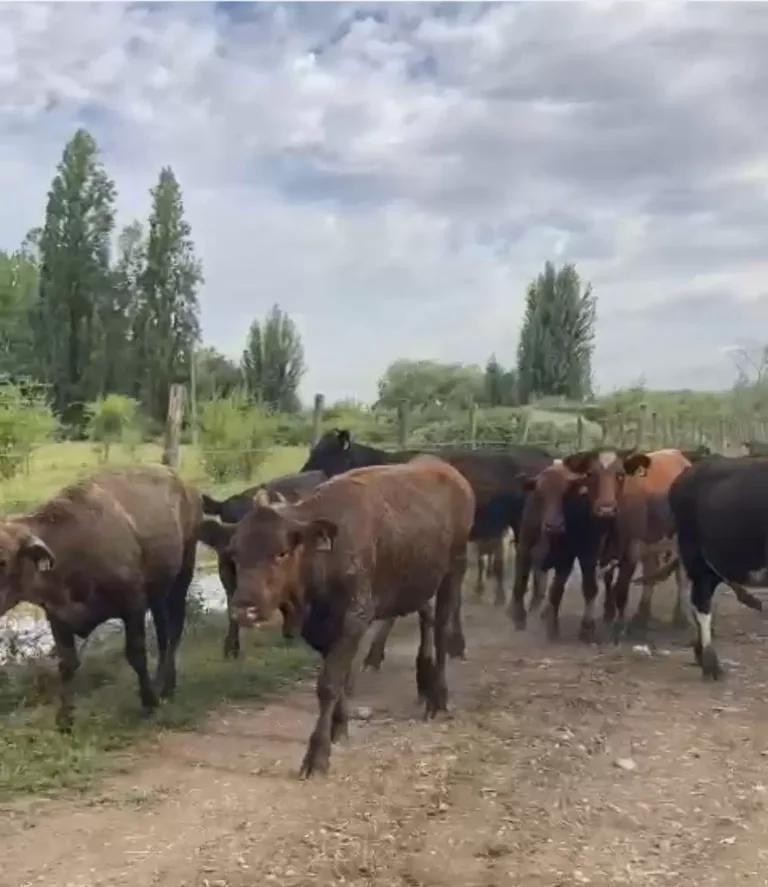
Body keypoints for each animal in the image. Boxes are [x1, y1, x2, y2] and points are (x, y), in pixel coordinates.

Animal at [0, 468, 202, 732]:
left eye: (3, 561)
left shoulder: (133, 603)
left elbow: (135, 653)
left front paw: (148, 701)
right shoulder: (58, 616)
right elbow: (67, 664)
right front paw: (65, 719)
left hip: (182, 575)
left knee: (174, 630)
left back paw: (164, 687)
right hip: (159, 590)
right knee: (163, 633)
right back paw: (167, 684)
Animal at [560, 448, 692, 640]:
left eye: (620, 475)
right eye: (590, 474)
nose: (606, 508)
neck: (607, 526)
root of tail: (676, 453)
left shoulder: (631, 553)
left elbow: (621, 590)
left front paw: (619, 626)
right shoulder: (587, 553)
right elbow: (591, 588)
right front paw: (589, 626)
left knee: (681, 577)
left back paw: (680, 618)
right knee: (650, 571)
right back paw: (642, 615)